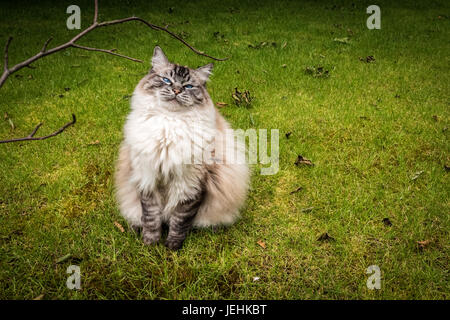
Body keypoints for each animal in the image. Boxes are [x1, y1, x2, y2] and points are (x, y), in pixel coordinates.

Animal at [115, 45, 250, 250]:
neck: (169, 125)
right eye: (166, 80)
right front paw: (150, 243)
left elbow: (180, 220)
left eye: (188, 86)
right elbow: (151, 218)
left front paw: (172, 246)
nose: (177, 90)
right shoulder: (148, 178)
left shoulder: (190, 183)